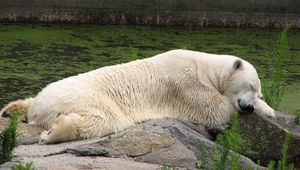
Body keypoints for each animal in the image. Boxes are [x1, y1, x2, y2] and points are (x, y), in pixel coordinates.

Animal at [0, 49, 274, 143]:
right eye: (250, 86)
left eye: (258, 91)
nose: (250, 107)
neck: (206, 67)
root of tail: (40, 108)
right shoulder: (186, 84)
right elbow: (214, 108)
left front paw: (268, 110)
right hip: (87, 97)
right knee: (103, 119)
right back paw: (53, 132)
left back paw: (11, 109)